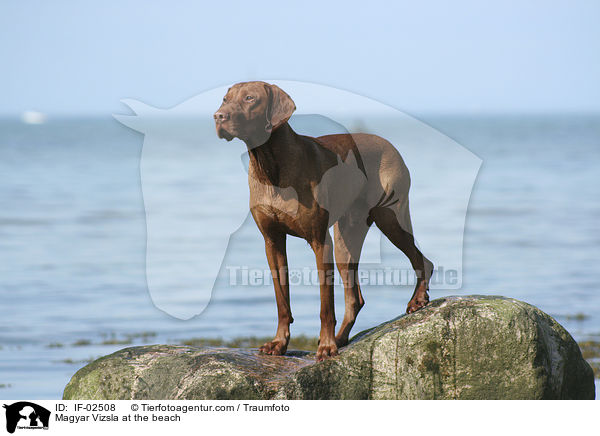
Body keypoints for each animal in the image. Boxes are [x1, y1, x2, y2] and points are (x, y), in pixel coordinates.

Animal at [214, 82, 432, 362]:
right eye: (225, 99)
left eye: (250, 98)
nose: (218, 116)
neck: (270, 164)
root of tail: (388, 144)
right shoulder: (272, 241)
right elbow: (282, 301)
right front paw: (279, 343)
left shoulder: (320, 241)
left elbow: (325, 304)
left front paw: (326, 347)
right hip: (345, 241)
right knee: (354, 298)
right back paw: (341, 338)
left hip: (390, 218)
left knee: (421, 260)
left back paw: (416, 301)